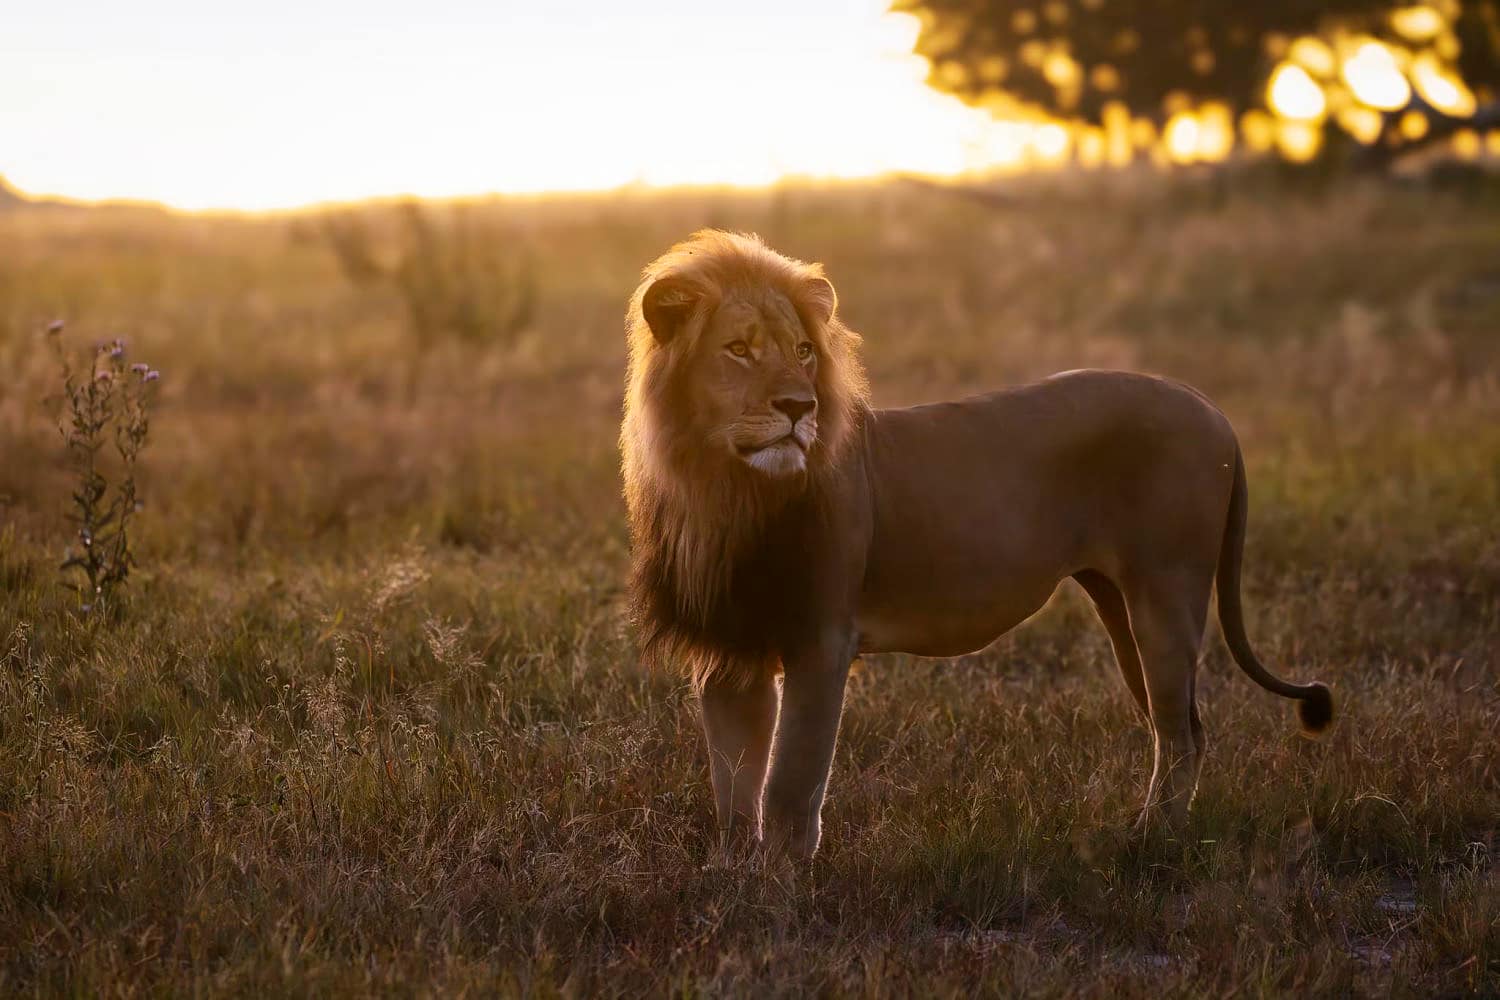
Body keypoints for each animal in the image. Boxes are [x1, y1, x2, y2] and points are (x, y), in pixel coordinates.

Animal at [621, 230, 1333, 859]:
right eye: (739, 349)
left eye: (802, 351)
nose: (800, 408)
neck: (724, 489)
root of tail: (1211, 408)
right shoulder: (728, 651)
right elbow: (733, 790)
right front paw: (735, 879)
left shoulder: (820, 640)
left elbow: (789, 788)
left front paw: (784, 890)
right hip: (1122, 605)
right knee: (1182, 727)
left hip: (1167, 593)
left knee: (1182, 735)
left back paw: (1148, 846)